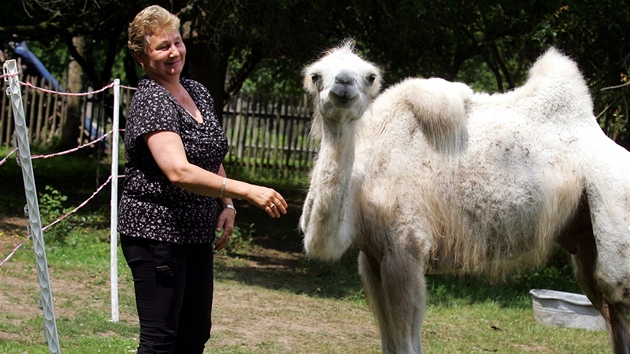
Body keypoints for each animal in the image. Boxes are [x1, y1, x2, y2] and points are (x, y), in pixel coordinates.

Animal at [298, 39, 630, 354]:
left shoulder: (406, 249)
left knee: (616, 290)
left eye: (369, 77)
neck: (365, 180)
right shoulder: (371, 257)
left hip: (615, 204)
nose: (342, 83)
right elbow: (389, 342)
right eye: (316, 75)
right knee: (607, 304)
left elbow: (407, 343)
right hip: (586, 238)